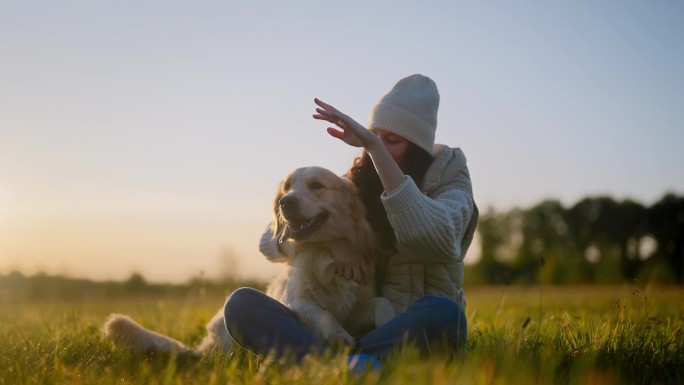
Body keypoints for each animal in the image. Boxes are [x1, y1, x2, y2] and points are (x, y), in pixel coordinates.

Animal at [102, 166, 392, 356]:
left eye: (316, 185)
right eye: (287, 187)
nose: (285, 202)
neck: (325, 251)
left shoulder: (356, 307)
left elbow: (381, 303)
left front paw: (391, 324)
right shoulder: (297, 301)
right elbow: (324, 314)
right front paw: (339, 336)